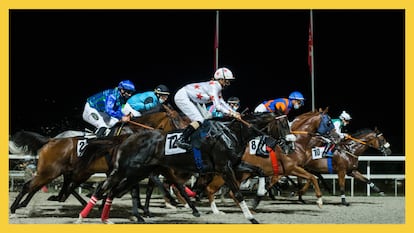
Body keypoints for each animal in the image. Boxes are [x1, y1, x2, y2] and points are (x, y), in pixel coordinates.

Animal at [8, 104, 188, 216]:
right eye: (178, 119)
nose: (186, 133)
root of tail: (52, 139)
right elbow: (152, 182)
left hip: (69, 170)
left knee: (59, 185)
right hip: (57, 170)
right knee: (41, 184)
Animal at [76, 112, 292, 225]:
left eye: (289, 125)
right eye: (283, 125)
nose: (290, 143)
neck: (231, 133)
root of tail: (126, 137)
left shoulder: (235, 164)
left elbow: (260, 172)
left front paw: (259, 196)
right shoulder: (224, 167)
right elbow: (237, 193)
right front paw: (250, 217)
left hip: (138, 173)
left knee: (114, 191)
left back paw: (106, 219)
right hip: (125, 170)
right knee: (103, 188)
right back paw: (81, 217)